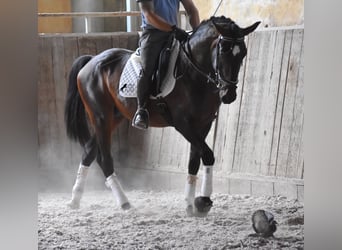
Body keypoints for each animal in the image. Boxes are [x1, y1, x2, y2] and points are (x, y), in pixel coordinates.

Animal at [65, 15, 260, 215]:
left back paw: (75, 199)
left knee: (88, 152)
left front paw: (189, 204)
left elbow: (194, 161)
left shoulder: (203, 124)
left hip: (114, 117)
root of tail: (91, 60)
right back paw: (124, 202)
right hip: (101, 117)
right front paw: (203, 201)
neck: (192, 73)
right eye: (223, 50)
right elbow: (207, 155)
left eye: (243, 53)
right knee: (104, 159)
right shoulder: (183, 124)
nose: (229, 95)